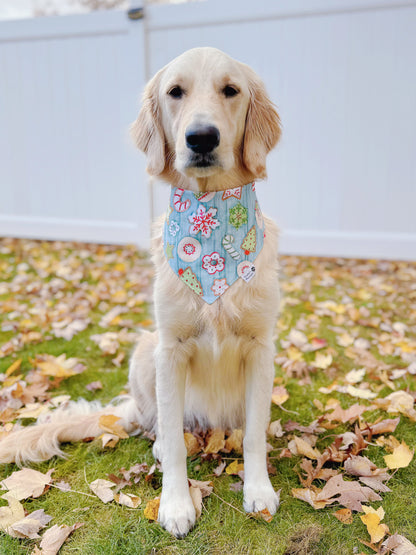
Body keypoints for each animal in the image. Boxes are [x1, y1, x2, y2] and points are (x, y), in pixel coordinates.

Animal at [0, 46, 282, 540]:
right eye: (175, 92)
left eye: (231, 90)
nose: (201, 138)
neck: (211, 223)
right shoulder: (170, 349)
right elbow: (171, 437)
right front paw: (175, 504)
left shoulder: (261, 346)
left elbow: (254, 433)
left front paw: (259, 491)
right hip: (144, 353)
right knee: (158, 427)